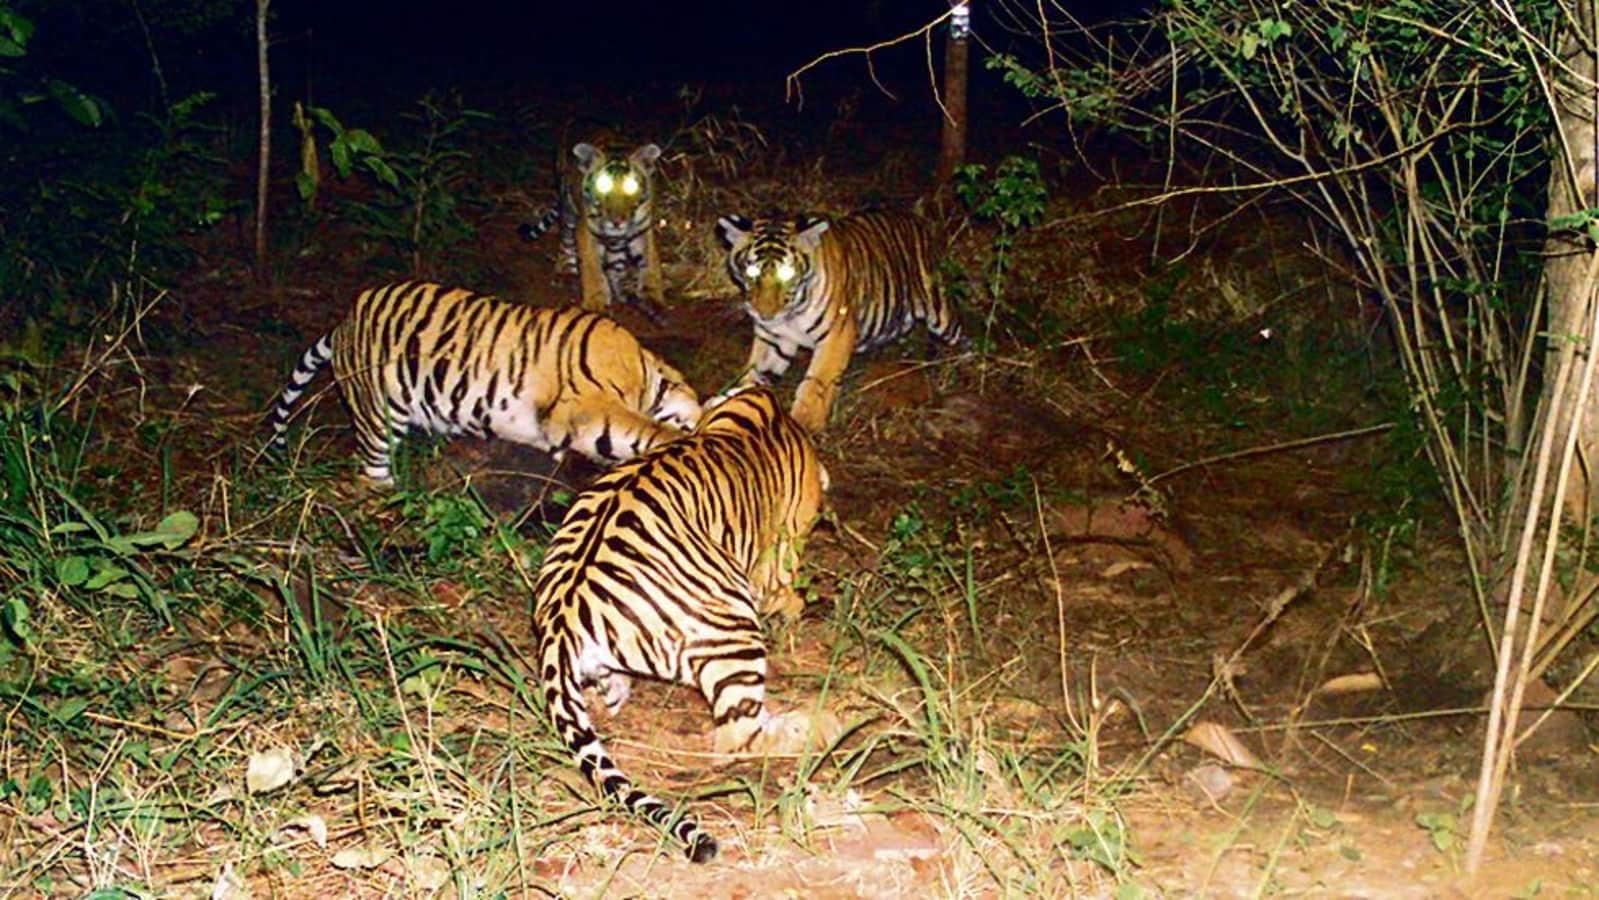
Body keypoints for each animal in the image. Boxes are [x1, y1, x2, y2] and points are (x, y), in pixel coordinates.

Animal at [269, 280, 701, 486]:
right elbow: (644, 429)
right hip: (377, 414)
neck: (645, 371)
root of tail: (344, 321)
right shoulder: (588, 408)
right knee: (370, 469)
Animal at [517, 128, 666, 322]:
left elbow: (651, 263)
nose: (617, 221)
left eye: (631, 186)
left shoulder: (643, 229)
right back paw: (566, 272)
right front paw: (596, 303)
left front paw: (653, 299)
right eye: (602, 185)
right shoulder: (586, 230)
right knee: (566, 241)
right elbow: (591, 266)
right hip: (568, 209)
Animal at [531, 386, 829, 862]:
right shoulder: (778, 555)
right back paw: (820, 726)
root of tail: (563, 616)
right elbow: (787, 590)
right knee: (737, 738)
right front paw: (796, 612)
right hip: (734, 623)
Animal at [716, 209, 966, 433]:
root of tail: (918, 220)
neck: (792, 313)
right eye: (751, 271)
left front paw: (804, 424)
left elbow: (815, 383)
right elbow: (753, 373)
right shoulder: (773, 339)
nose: (764, 314)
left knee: (960, 334)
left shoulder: (837, 334)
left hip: (940, 309)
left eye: (787, 273)